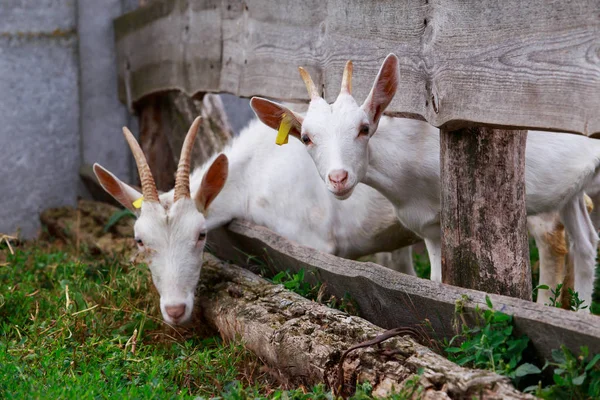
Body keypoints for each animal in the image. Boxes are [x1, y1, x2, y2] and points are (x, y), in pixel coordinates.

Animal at [250, 54, 600, 308]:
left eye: (364, 128)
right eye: (306, 138)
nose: (338, 178)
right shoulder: (429, 228)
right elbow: (435, 283)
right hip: (571, 192)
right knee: (585, 242)